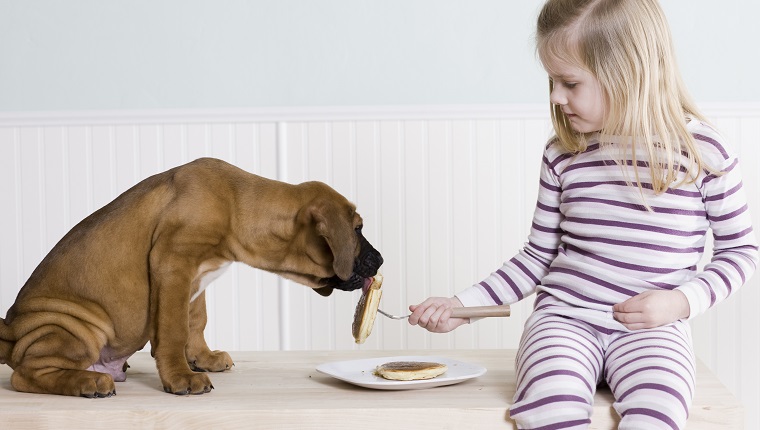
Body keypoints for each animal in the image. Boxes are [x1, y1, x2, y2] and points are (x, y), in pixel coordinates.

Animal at [0, 157, 380, 396]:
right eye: (357, 229)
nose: (380, 260)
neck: (235, 205)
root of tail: (11, 332)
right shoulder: (173, 262)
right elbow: (173, 329)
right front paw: (181, 376)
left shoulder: (195, 281)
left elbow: (195, 322)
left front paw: (202, 359)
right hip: (74, 328)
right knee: (25, 375)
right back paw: (88, 383)